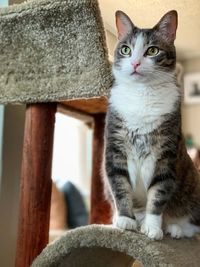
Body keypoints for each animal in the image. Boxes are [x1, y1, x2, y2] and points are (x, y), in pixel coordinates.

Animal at [104, 9, 200, 241]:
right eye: (126, 49)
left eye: (152, 50)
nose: (135, 63)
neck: (142, 95)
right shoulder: (115, 147)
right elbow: (120, 185)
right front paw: (126, 219)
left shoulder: (165, 153)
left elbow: (158, 193)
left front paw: (153, 228)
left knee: (192, 224)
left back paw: (175, 228)